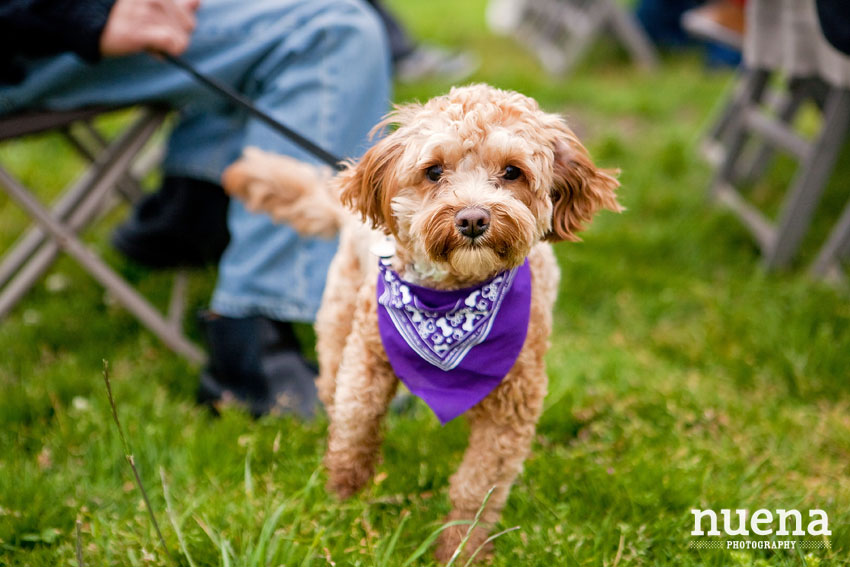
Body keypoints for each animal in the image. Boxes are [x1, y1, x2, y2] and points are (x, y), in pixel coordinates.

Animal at [220, 84, 616, 564]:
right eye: (434, 171)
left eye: (512, 171)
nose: (472, 218)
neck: (450, 300)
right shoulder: (366, 360)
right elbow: (356, 425)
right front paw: (342, 499)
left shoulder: (513, 404)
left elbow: (478, 487)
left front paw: (461, 548)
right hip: (336, 329)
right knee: (332, 392)